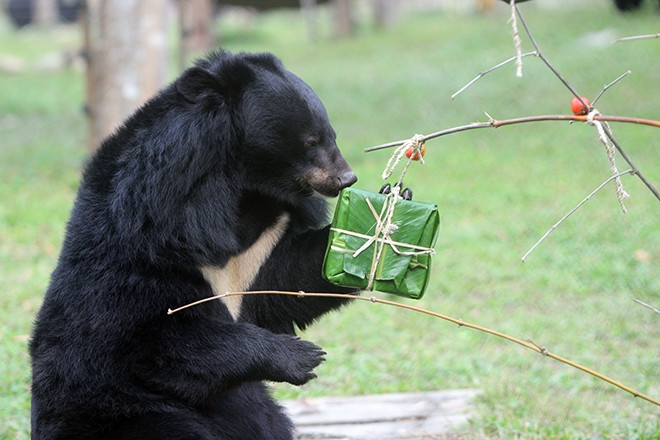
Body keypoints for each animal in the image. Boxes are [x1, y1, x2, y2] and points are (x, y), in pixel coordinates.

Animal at [29, 52, 360, 440]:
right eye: (310, 141)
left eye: (331, 134)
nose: (346, 178)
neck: (241, 193)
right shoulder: (148, 240)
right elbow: (154, 341)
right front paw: (301, 356)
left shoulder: (258, 248)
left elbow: (285, 280)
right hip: (117, 410)